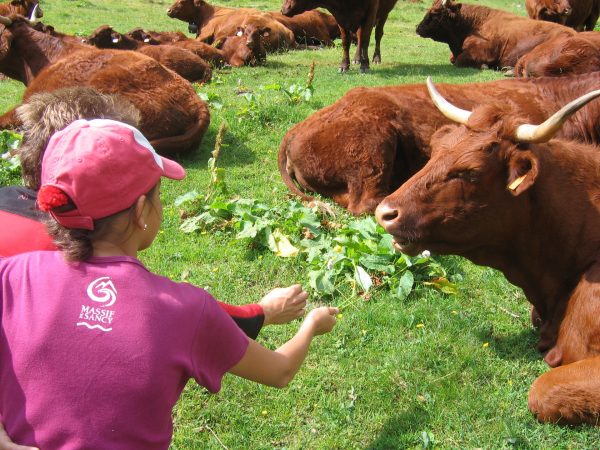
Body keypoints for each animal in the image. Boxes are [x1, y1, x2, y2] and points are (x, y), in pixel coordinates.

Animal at [414, 0, 576, 69]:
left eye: (434, 14)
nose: (418, 28)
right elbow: (453, 59)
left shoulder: (482, 53)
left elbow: (459, 61)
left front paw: (484, 66)